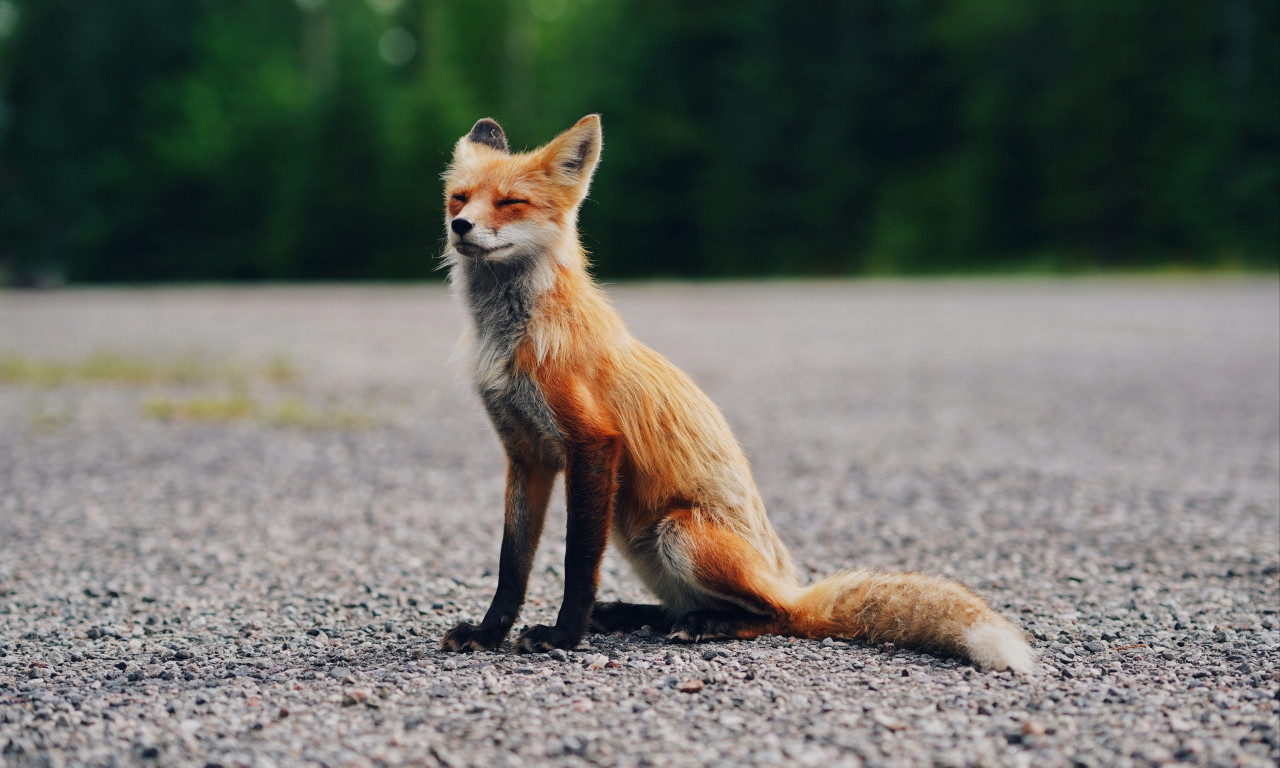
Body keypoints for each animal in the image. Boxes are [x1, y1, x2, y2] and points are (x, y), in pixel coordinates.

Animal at [435, 115, 1034, 670]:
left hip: (678, 534)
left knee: (779, 616)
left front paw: (563, 636)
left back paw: (706, 623)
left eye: (511, 202)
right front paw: (489, 633)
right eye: (459, 198)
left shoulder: (592, 443)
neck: (511, 338)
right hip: (635, 535)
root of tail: (789, 580)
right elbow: (512, 563)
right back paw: (636, 614)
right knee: (688, 608)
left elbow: (576, 561)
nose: (460, 226)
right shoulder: (526, 454)